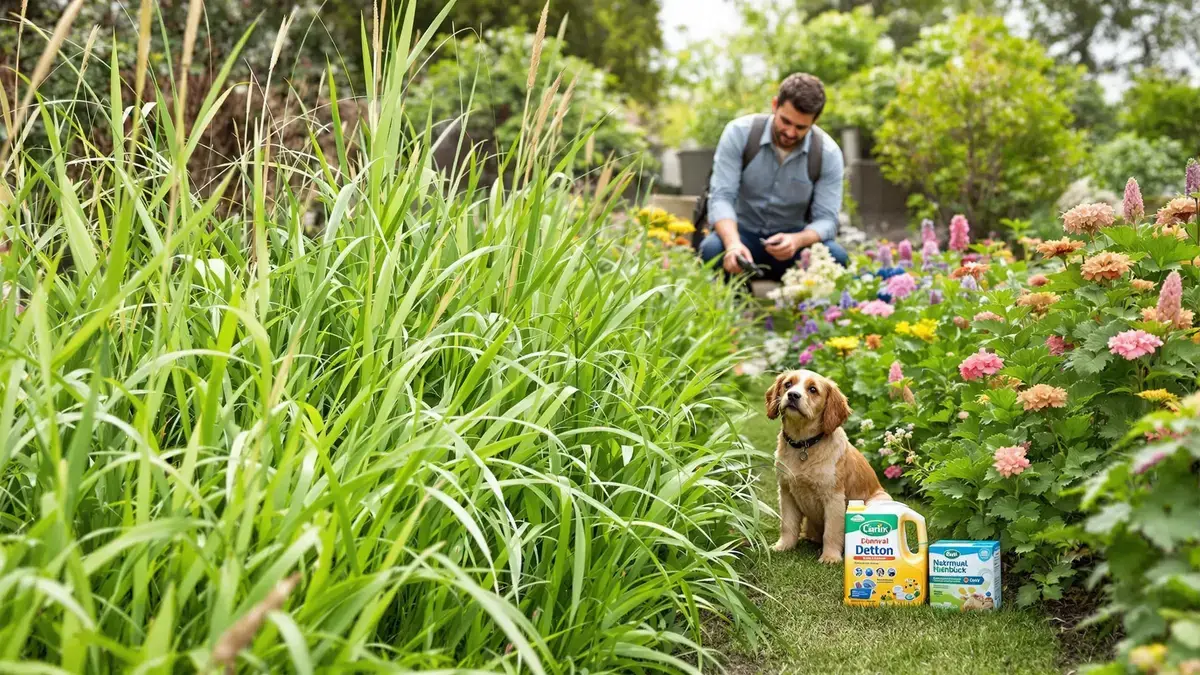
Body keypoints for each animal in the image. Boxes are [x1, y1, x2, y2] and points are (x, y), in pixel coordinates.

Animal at [763, 367, 888, 562]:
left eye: (813, 389)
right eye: (788, 384)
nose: (792, 395)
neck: (804, 445)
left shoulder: (834, 497)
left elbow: (831, 531)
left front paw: (830, 557)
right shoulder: (786, 492)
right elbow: (788, 525)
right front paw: (783, 546)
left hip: (878, 500)